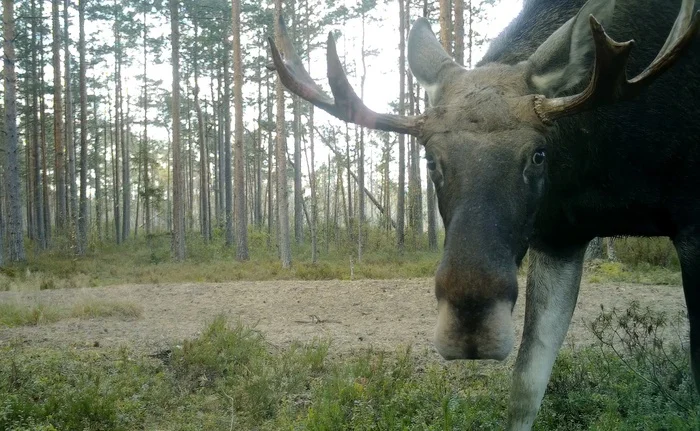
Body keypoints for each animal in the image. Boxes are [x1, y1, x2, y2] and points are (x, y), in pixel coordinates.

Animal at [266, 0, 696, 428]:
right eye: (430, 160)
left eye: (538, 154)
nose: (470, 329)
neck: (607, 162)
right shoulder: (559, 238)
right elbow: (525, 388)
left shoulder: (691, 224)